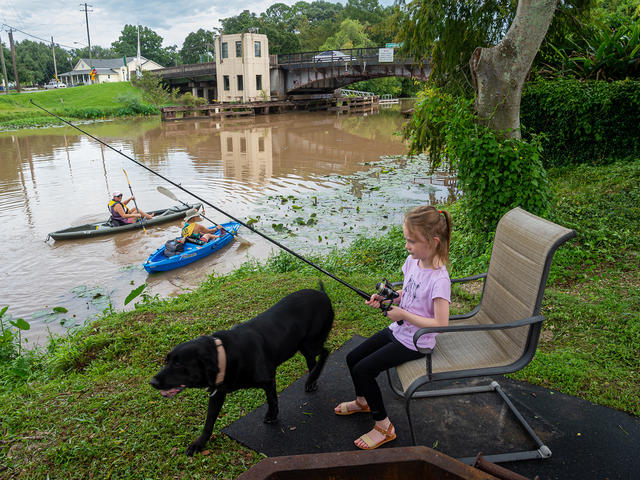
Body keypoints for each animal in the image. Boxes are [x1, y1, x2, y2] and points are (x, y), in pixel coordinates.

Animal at [148, 286, 332, 456]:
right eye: (167, 360)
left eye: (178, 363)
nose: (152, 382)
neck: (225, 355)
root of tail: (322, 293)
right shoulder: (217, 394)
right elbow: (208, 422)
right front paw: (199, 443)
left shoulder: (268, 380)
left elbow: (272, 400)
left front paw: (272, 416)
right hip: (304, 346)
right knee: (314, 362)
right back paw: (312, 380)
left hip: (310, 343)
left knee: (325, 352)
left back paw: (312, 378)